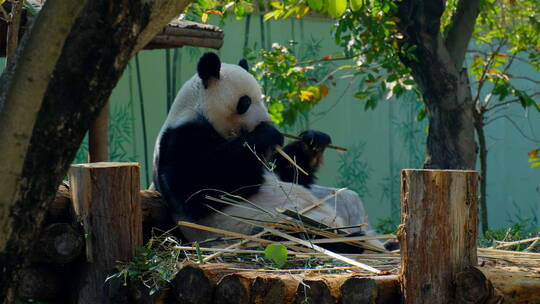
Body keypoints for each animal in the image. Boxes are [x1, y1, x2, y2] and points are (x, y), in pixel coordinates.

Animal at [152, 52, 372, 247]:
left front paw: (313, 140)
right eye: (245, 102)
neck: (196, 109)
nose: (266, 121)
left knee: (346, 198)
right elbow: (198, 186)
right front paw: (268, 133)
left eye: (262, 98)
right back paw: (351, 241)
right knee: (301, 235)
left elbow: (289, 173)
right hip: (261, 226)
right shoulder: (181, 138)